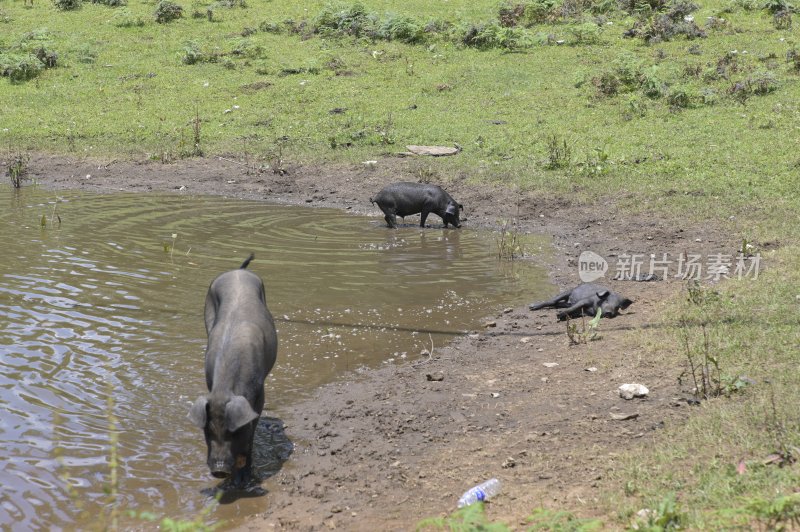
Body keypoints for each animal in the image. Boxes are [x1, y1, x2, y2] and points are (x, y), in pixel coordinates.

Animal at [188, 254, 278, 486]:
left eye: (234, 431)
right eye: (207, 430)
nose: (219, 470)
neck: (225, 388)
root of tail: (238, 271)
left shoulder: (259, 395)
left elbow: (251, 435)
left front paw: (244, 480)